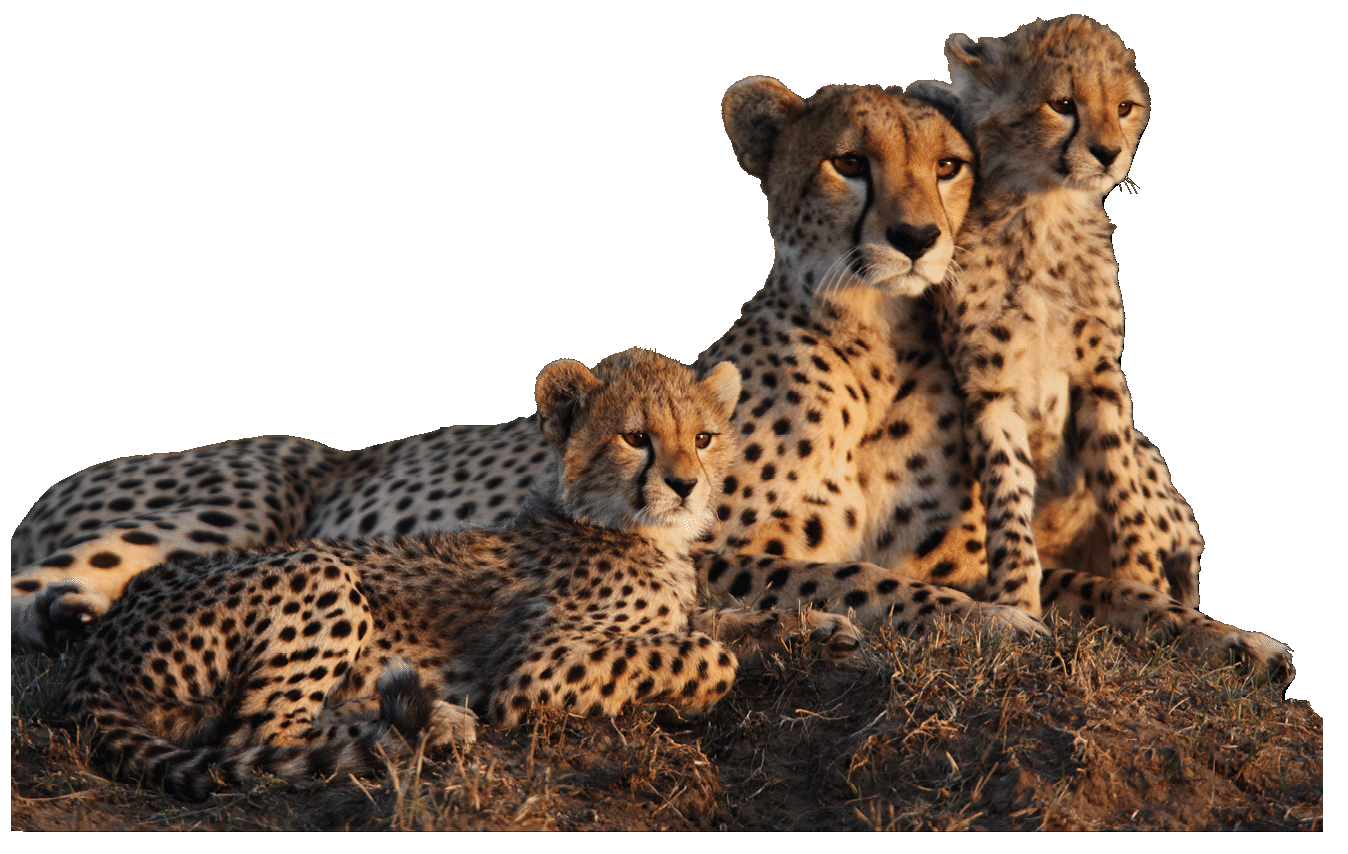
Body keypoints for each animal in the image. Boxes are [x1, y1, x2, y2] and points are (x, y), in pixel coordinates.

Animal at [14, 77, 1291, 681]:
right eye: (847, 161)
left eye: (948, 166)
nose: (918, 237)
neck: (877, 346)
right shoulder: (704, 542)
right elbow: (874, 582)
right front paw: (989, 626)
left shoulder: (959, 544)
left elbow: (1108, 595)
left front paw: (1229, 637)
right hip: (210, 518)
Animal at [62, 347, 861, 799]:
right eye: (636, 437)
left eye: (703, 437)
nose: (687, 485)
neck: (626, 528)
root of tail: (101, 641)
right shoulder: (534, 670)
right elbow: (707, 651)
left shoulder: (680, 606)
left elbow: (725, 618)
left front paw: (820, 627)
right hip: (323, 574)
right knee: (253, 734)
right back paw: (424, 730)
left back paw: (429, 716)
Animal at [908, 16, 1208, 623]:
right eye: (1062, 104)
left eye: (1124, 107)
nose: (1109, 153)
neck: (1044, 209)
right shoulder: (988, 387)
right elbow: (1006, 496)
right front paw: (1017, 601)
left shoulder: (1100, 374)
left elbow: (1120, 484)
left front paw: (1141, 582)